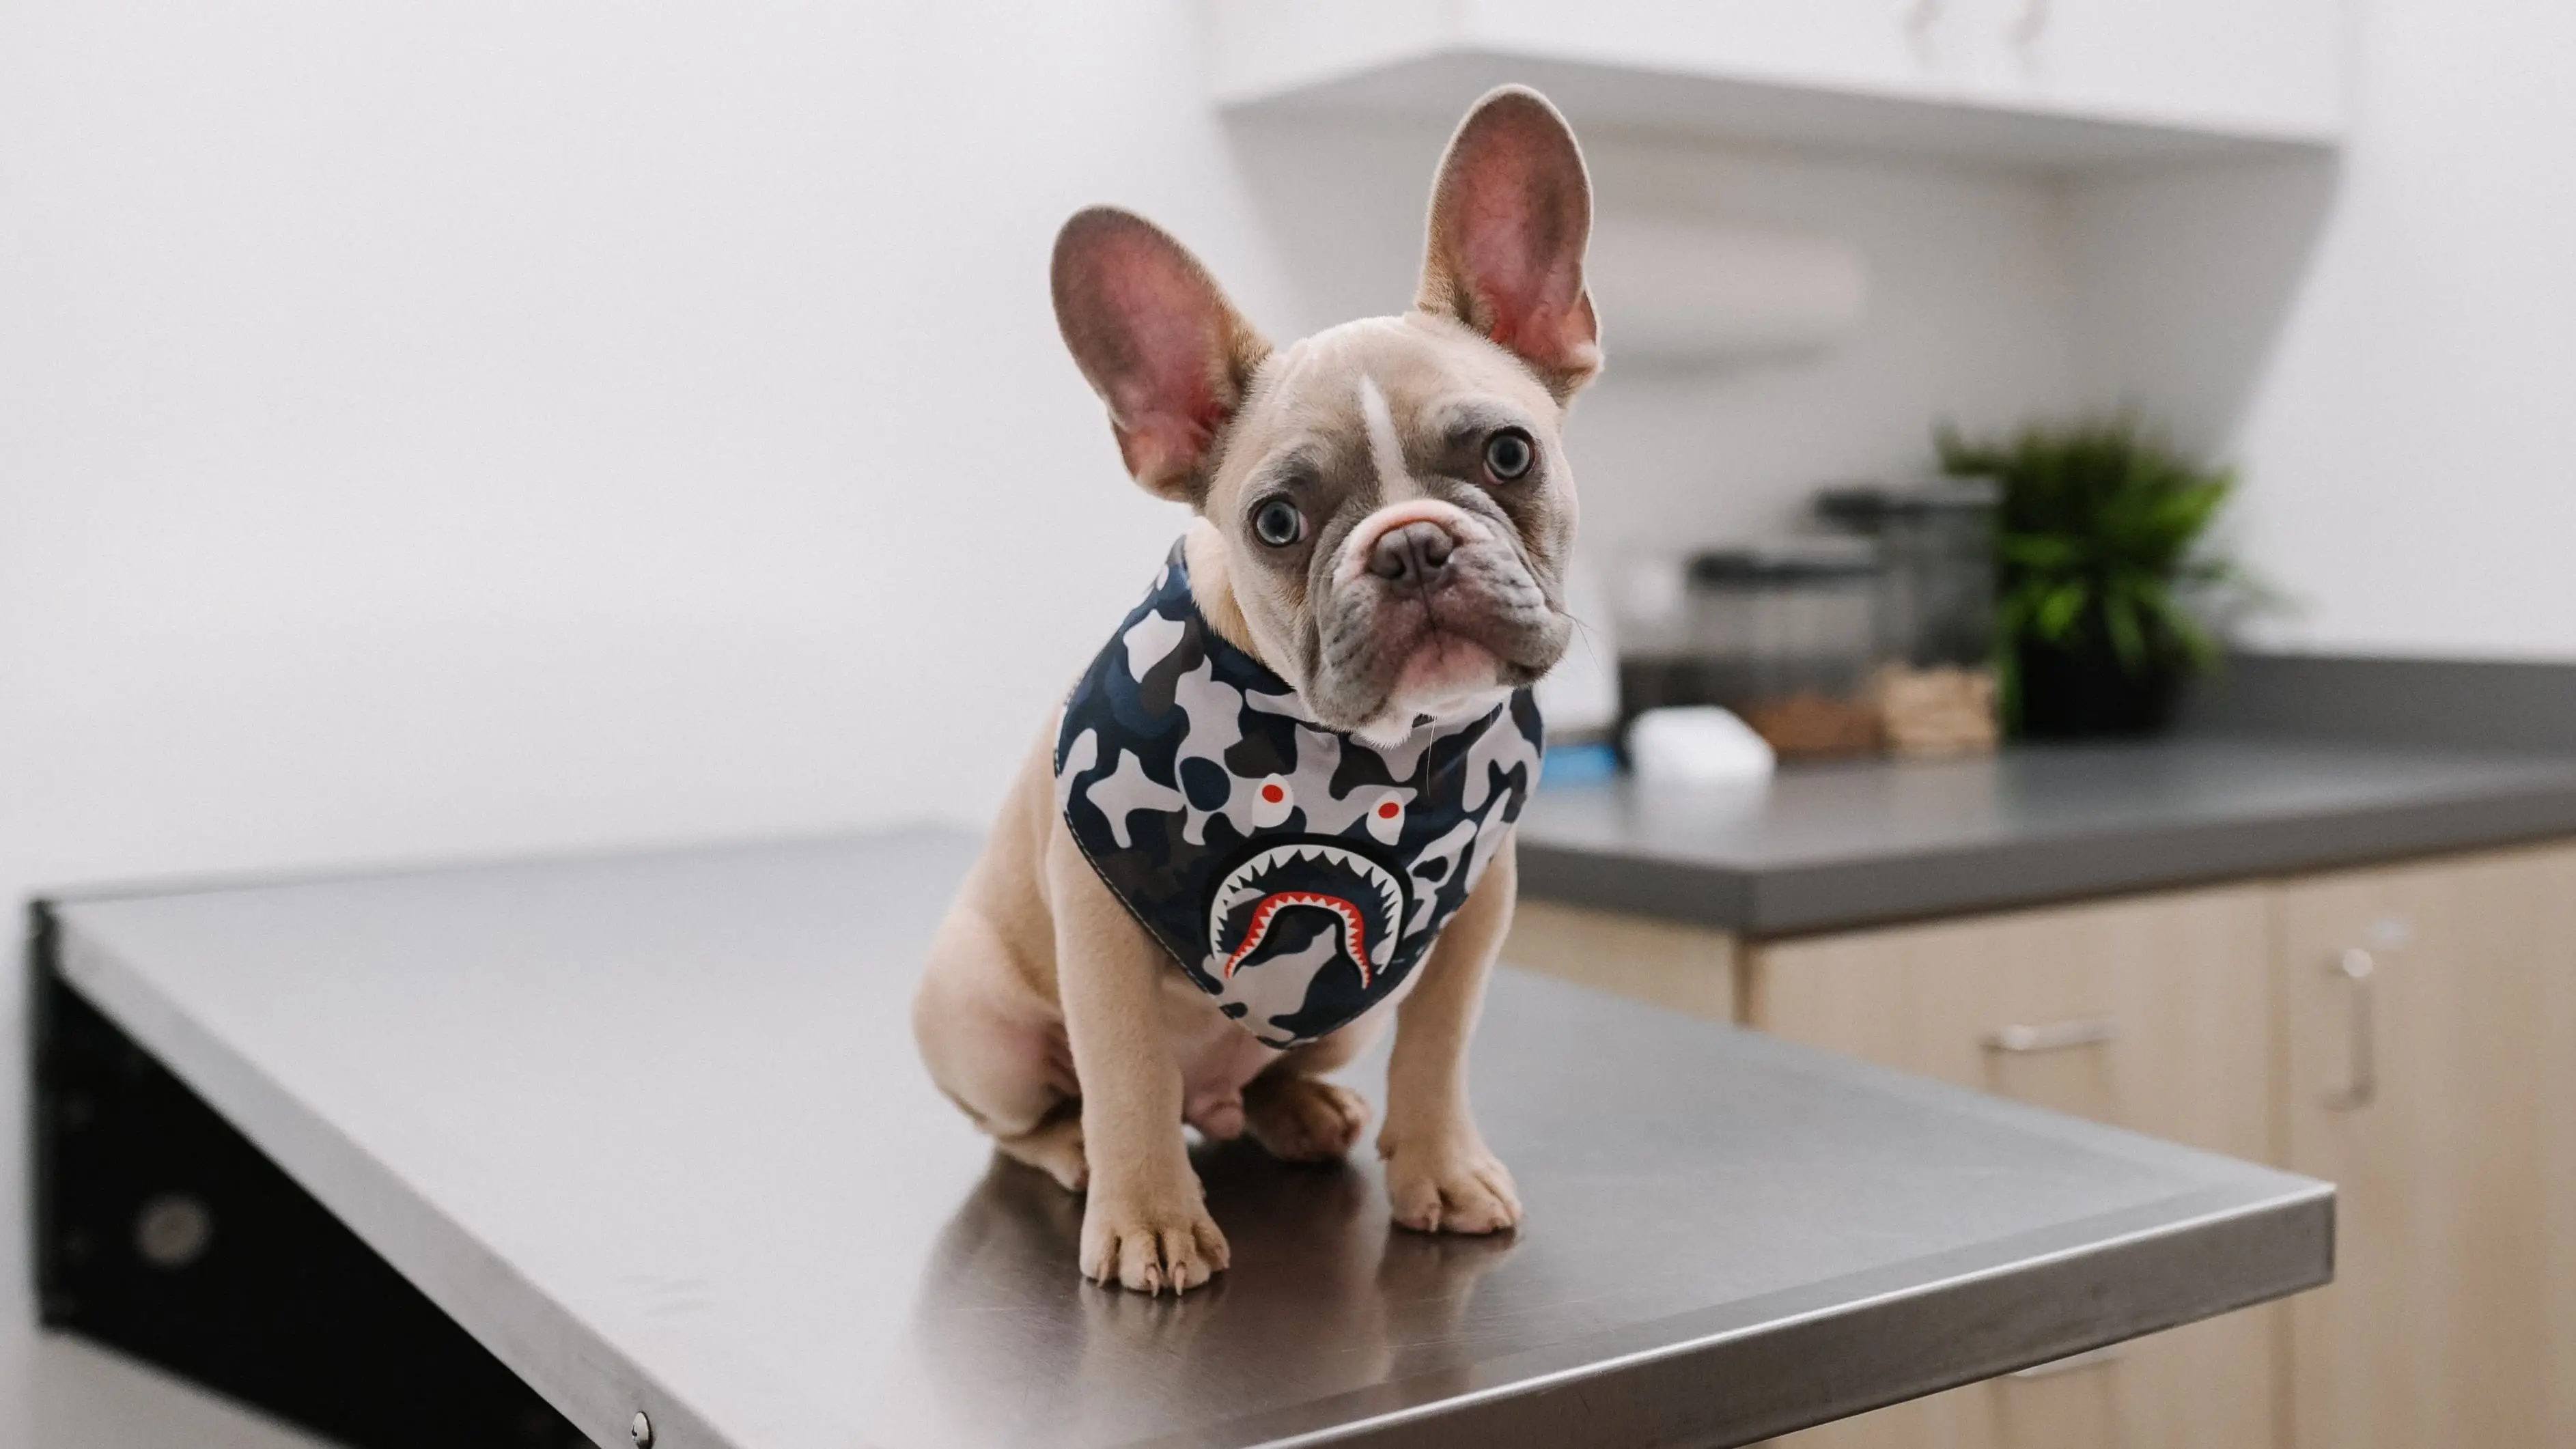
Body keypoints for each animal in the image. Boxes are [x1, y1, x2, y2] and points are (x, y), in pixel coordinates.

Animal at [916, 85, 1597, 1297]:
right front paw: (1150, 1220)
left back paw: (1302, 1109)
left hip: (1338, 1018)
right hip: (976, 1016)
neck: (1365, 760)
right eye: (1277, 522)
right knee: (1031, 1116)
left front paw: (1440, 1167)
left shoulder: (1474, 914)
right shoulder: (1099, 921)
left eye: (1511, 454)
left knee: (1272, 1074)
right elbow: (1127, 1072)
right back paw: (1077, 1151)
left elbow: (1440, 1046)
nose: (1412, 545)